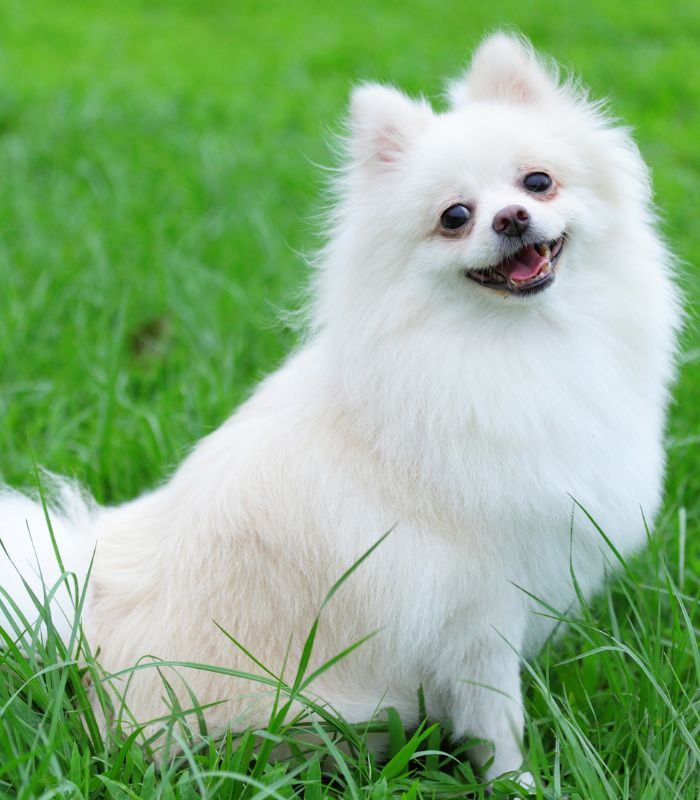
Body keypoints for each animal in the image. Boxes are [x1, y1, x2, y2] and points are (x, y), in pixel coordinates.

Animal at [0, 32, 680, 780]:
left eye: (538, 181)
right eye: (454, 217)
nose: (512, 218)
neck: (510, 344)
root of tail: (84, 607)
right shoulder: (478, 610)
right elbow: (497, 719)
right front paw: (520, 782)